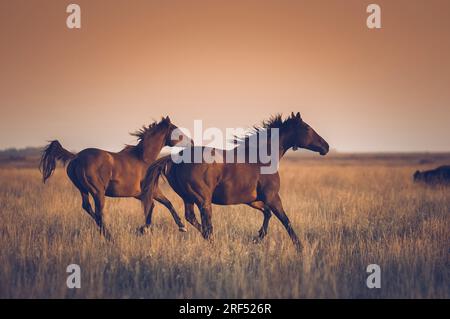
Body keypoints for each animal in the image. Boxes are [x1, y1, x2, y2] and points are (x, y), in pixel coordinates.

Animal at [39, 117, 192, 240]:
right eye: (176, 130)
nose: (191, 141)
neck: (143, 158)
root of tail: (76, 158)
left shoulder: (141, 194)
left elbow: (161, 204)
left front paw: (145, 229)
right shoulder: (151, 191)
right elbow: (161, 204)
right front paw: (180, 227)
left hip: (83, 190)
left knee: (88, 208)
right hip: (98, 192)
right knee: (99, 214)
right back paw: (110, 237)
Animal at [142, 113, 328, 252]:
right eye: (307, 128)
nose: (325, 146)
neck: (262, 158)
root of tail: (175, 158)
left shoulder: (252, 200)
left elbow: (267, 214)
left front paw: (257, 238)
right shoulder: (273, 197)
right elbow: (285, 220)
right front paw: (300, 247)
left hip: (189, 198)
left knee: (192, 219)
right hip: (203, 200)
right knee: (207, 225)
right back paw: (213, 244)